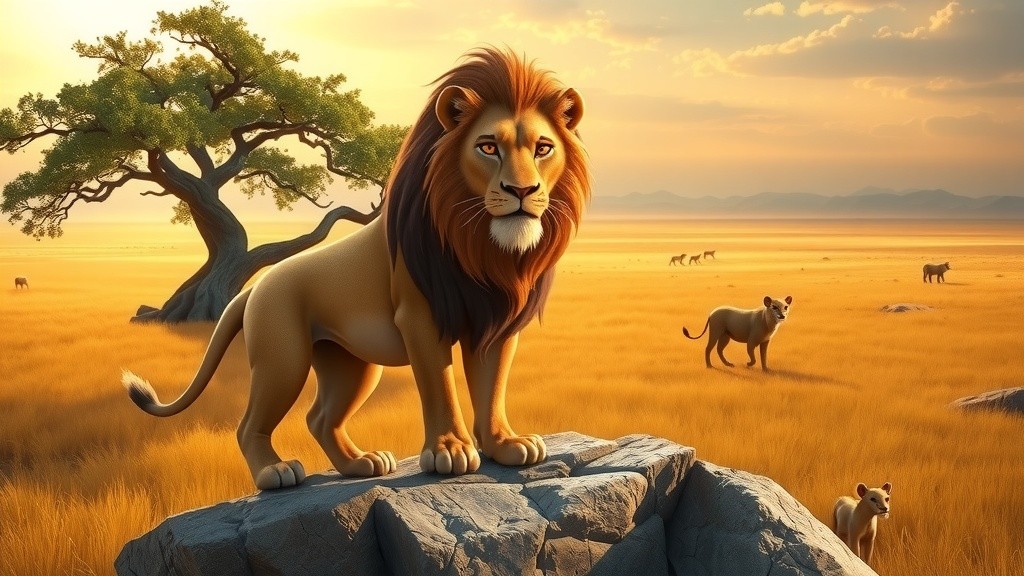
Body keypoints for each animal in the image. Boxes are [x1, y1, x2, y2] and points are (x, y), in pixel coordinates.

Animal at [122, 48, 590, 490]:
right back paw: (275, 471)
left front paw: (505, 445)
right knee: (249, 424)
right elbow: (439, 386)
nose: (522, 190)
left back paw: (360, 463)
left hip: (352, 365)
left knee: (319, 418)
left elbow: (492, 386)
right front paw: (451, 450)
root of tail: (255, 287)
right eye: (488, 146)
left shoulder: (496, 319)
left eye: (543, 148)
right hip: (283, 357)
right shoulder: (419, 317)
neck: (481, 244)